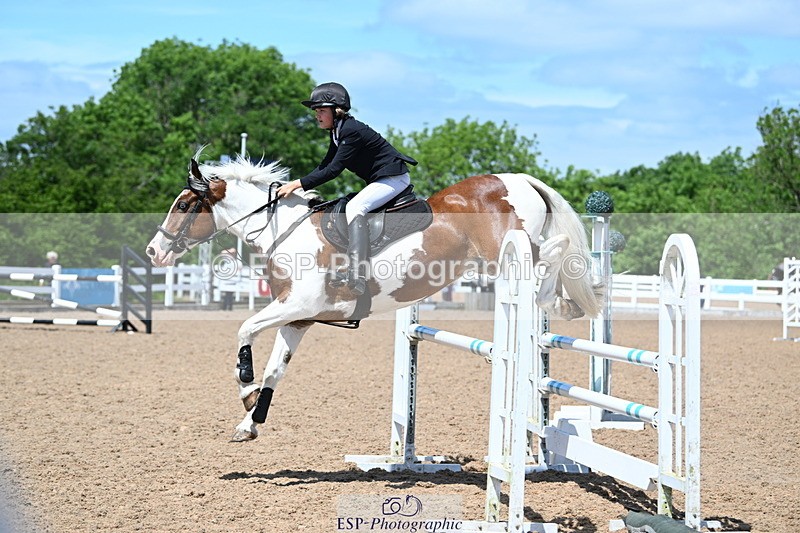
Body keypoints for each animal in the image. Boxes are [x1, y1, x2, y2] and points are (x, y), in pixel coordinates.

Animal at [146, 152, 604, 442]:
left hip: (510, 253)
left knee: (557, 250)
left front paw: (245, 384)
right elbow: (276, 370)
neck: (284, 231)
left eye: (184, 204)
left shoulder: (297, 305)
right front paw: (250, 422)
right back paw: (563, 304)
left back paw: (559, 300)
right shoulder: (298, 318)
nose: (154, 251)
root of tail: (518, 179)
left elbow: (245, 328)